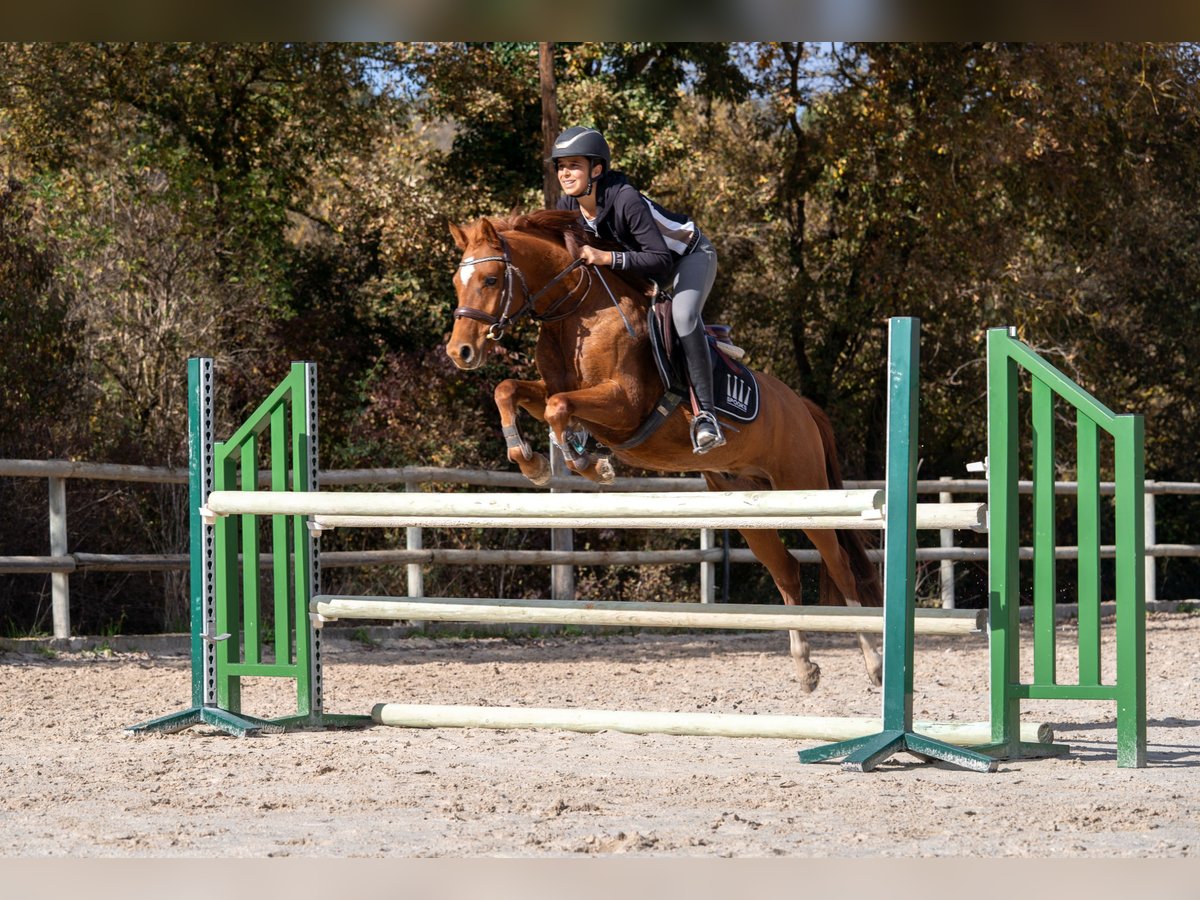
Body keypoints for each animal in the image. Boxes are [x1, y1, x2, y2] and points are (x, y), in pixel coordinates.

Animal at [445, 209, 882, 692]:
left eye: (489, 279)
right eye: (456, 281)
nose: (459, 351)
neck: (576, 312)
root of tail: (802, 406)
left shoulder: (624, 403)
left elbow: (560, 407)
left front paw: (589, 463)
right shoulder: (555, 392)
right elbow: (510, 390)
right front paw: (534, 461)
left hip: (802, 488)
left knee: (839, 565)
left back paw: (874, 664)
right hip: (748, 500)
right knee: (786, 569)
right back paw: (805, 668)